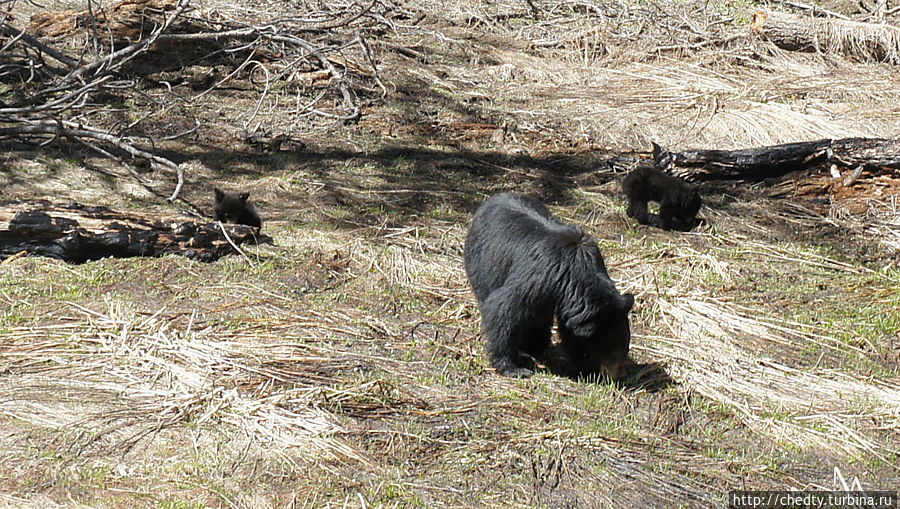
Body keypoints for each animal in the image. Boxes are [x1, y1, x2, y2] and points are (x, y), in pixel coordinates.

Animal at [464, 192, 632, 380]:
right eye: (613, 353)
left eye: (625, 348)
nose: (622, 374)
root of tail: (492, 199)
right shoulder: (539, 276)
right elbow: (504, 309)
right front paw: (513, 367)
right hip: (483, 263)